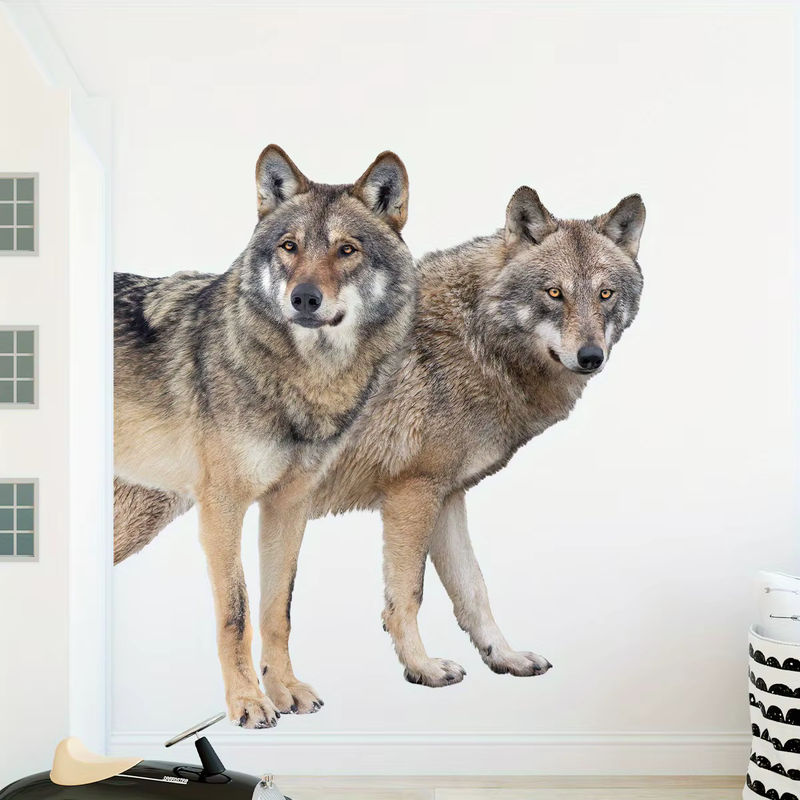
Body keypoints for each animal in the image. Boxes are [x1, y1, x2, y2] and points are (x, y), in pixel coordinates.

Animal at [113, 145, 417, 728]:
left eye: (346, 250)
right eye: (289, 246)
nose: (304, 298)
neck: (305, 384)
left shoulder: (288, 507)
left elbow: (279, 610)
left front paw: (285, 690)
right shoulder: (222, 509)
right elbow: (237, 613)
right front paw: (247, 703)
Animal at [115, 185, 645, 699]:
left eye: (605, 294)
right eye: (554, 293)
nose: (591, 356)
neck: (475, 340)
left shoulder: (447, 496)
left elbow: (473, 590)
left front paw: (505, 657)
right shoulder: (411, 494)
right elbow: (408, 596)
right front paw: (423, 668)